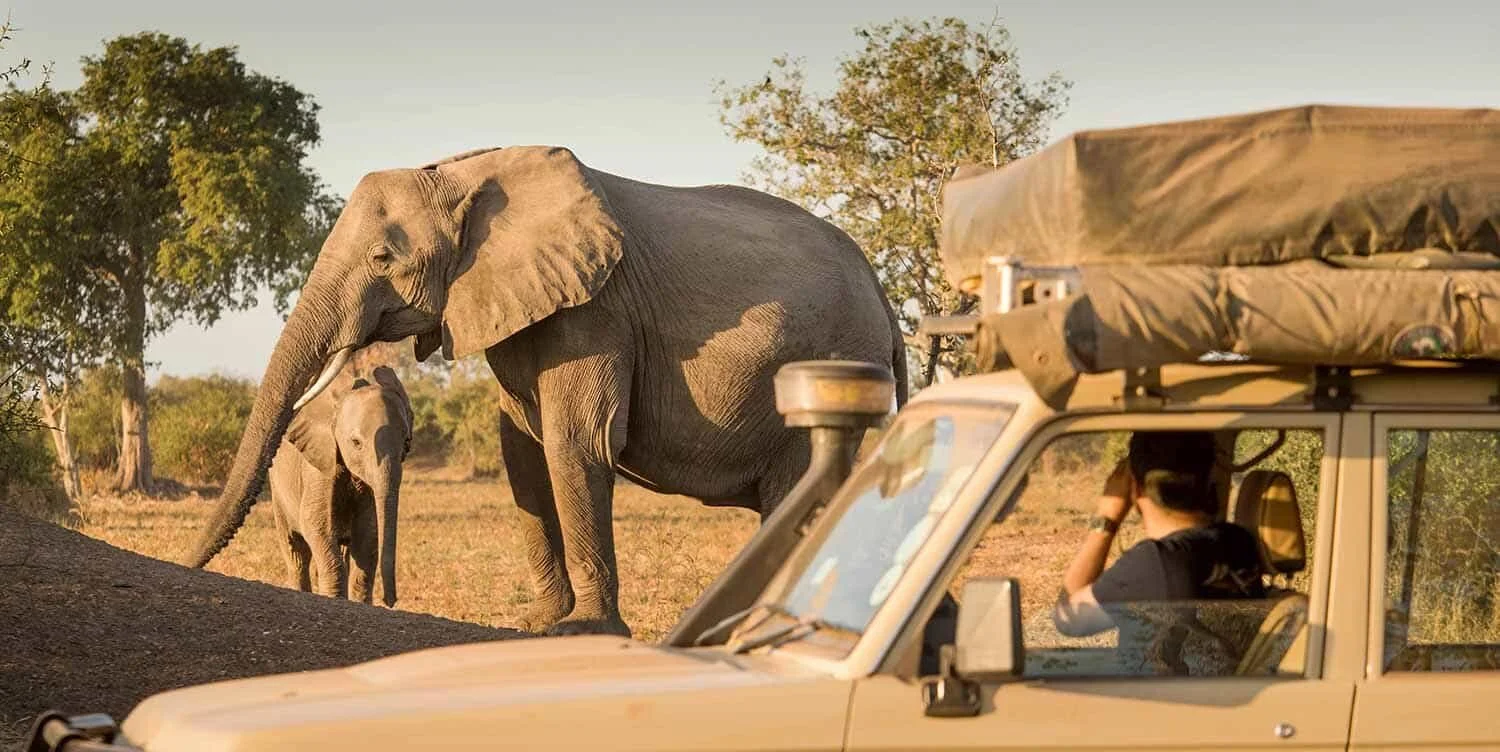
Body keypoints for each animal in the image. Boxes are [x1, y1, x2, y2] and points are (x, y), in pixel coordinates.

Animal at [267, 364, 412, 606]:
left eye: (407, 442)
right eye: (356, 443)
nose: (389, 600)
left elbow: (368, 533)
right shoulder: (319, 465)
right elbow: (315, 523)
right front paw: (334, 597)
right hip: (276, 488)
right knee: (297, 552)